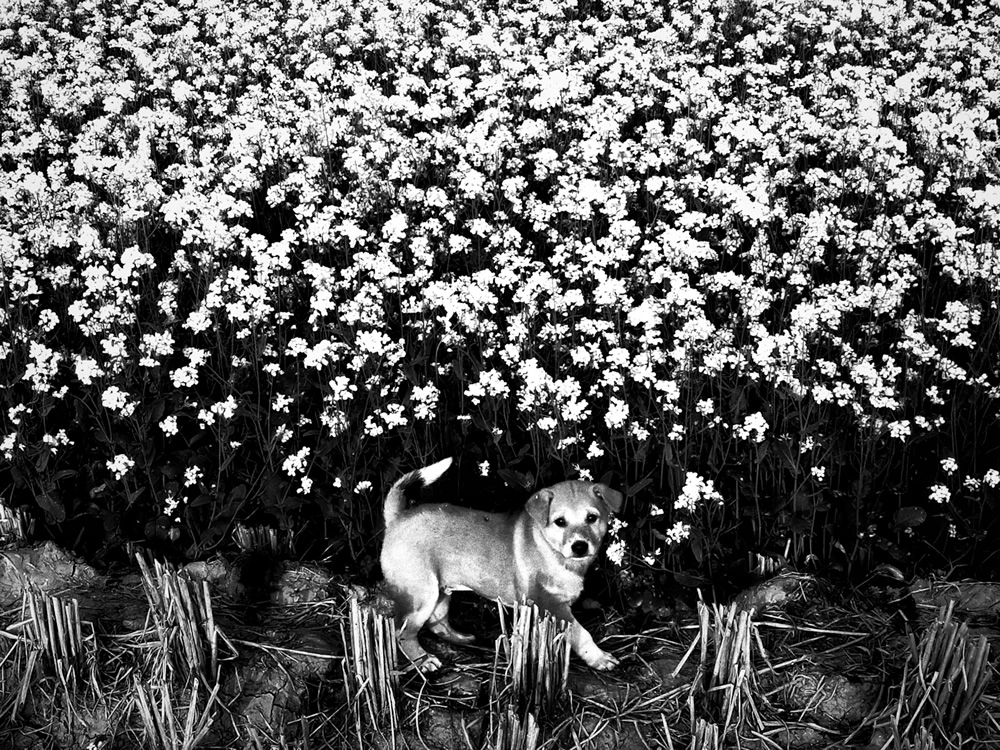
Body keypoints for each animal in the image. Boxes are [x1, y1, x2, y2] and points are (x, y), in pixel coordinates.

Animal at [378, 458, 620, 676]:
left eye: (592, 518)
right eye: (560, 522)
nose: (580, 546)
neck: (551, 551)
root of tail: (397, 518)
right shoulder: (550, 605)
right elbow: (581, 633)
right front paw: (600, 658)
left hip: (441, 592)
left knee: (437, 623)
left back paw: (462, 638)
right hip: (421, 596)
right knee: (403, 632)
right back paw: (423, 660)